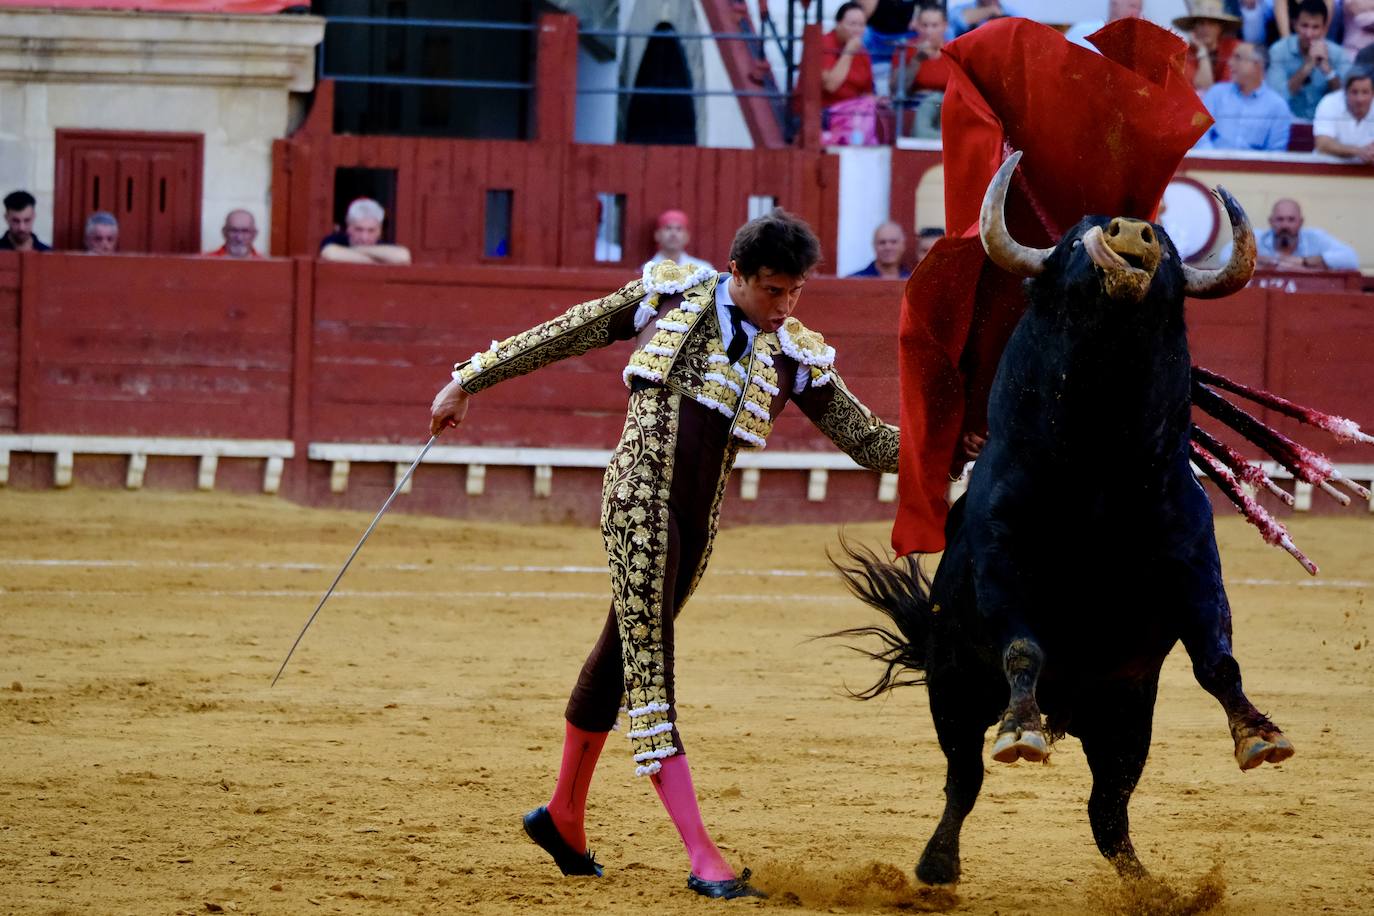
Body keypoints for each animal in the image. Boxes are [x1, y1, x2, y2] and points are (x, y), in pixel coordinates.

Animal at [829, 153, 1291, 884]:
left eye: (1170, 248)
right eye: (1074, 242)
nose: (1131, 231)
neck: (1098, 467)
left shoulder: (1192, 568)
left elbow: (1218, 660)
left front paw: (1260, 735)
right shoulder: (1003, 565)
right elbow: (1025, 646)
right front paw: (1021, 730)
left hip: (1125, 718)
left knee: (1109, 810)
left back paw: (1151, 890)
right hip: (955, 691)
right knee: (963, 780)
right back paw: (938, 862)